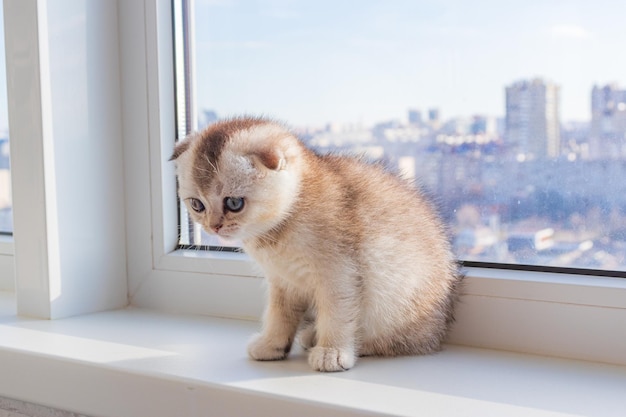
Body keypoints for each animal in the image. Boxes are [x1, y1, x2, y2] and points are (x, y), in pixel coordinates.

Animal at [168, 114, 460, 370]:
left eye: (234, 203)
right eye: (197, 205)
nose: (213, 226)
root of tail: (438, 329)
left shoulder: (339, 274)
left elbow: (337, 314)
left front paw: (332, 352)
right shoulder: (283, 281)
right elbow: (279, 315)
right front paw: (272, 345)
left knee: (397, 341)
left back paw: (351, 343)